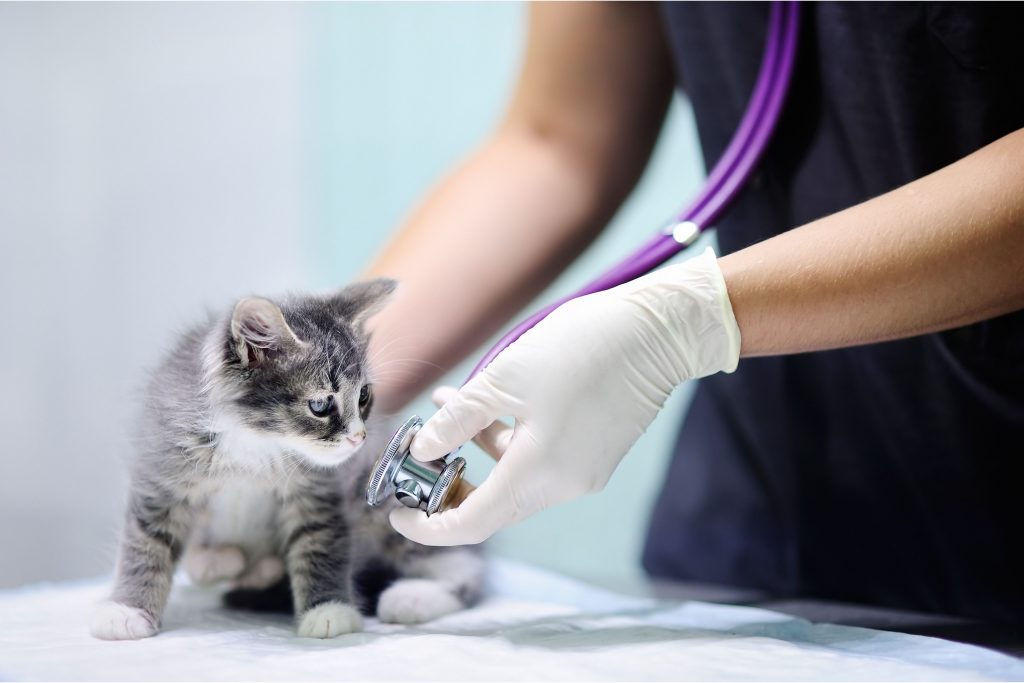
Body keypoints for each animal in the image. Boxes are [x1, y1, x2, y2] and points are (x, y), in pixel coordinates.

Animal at [90, 278, 481, 643]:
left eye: (364, 396)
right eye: (321, 405)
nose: (359, 438)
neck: (255, 443)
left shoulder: (319, 492)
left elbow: (322, 544)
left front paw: (329, 610)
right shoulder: (161, 473)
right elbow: (144, 544)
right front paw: (126, 609)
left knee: (463, 567)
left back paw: (411, 597)